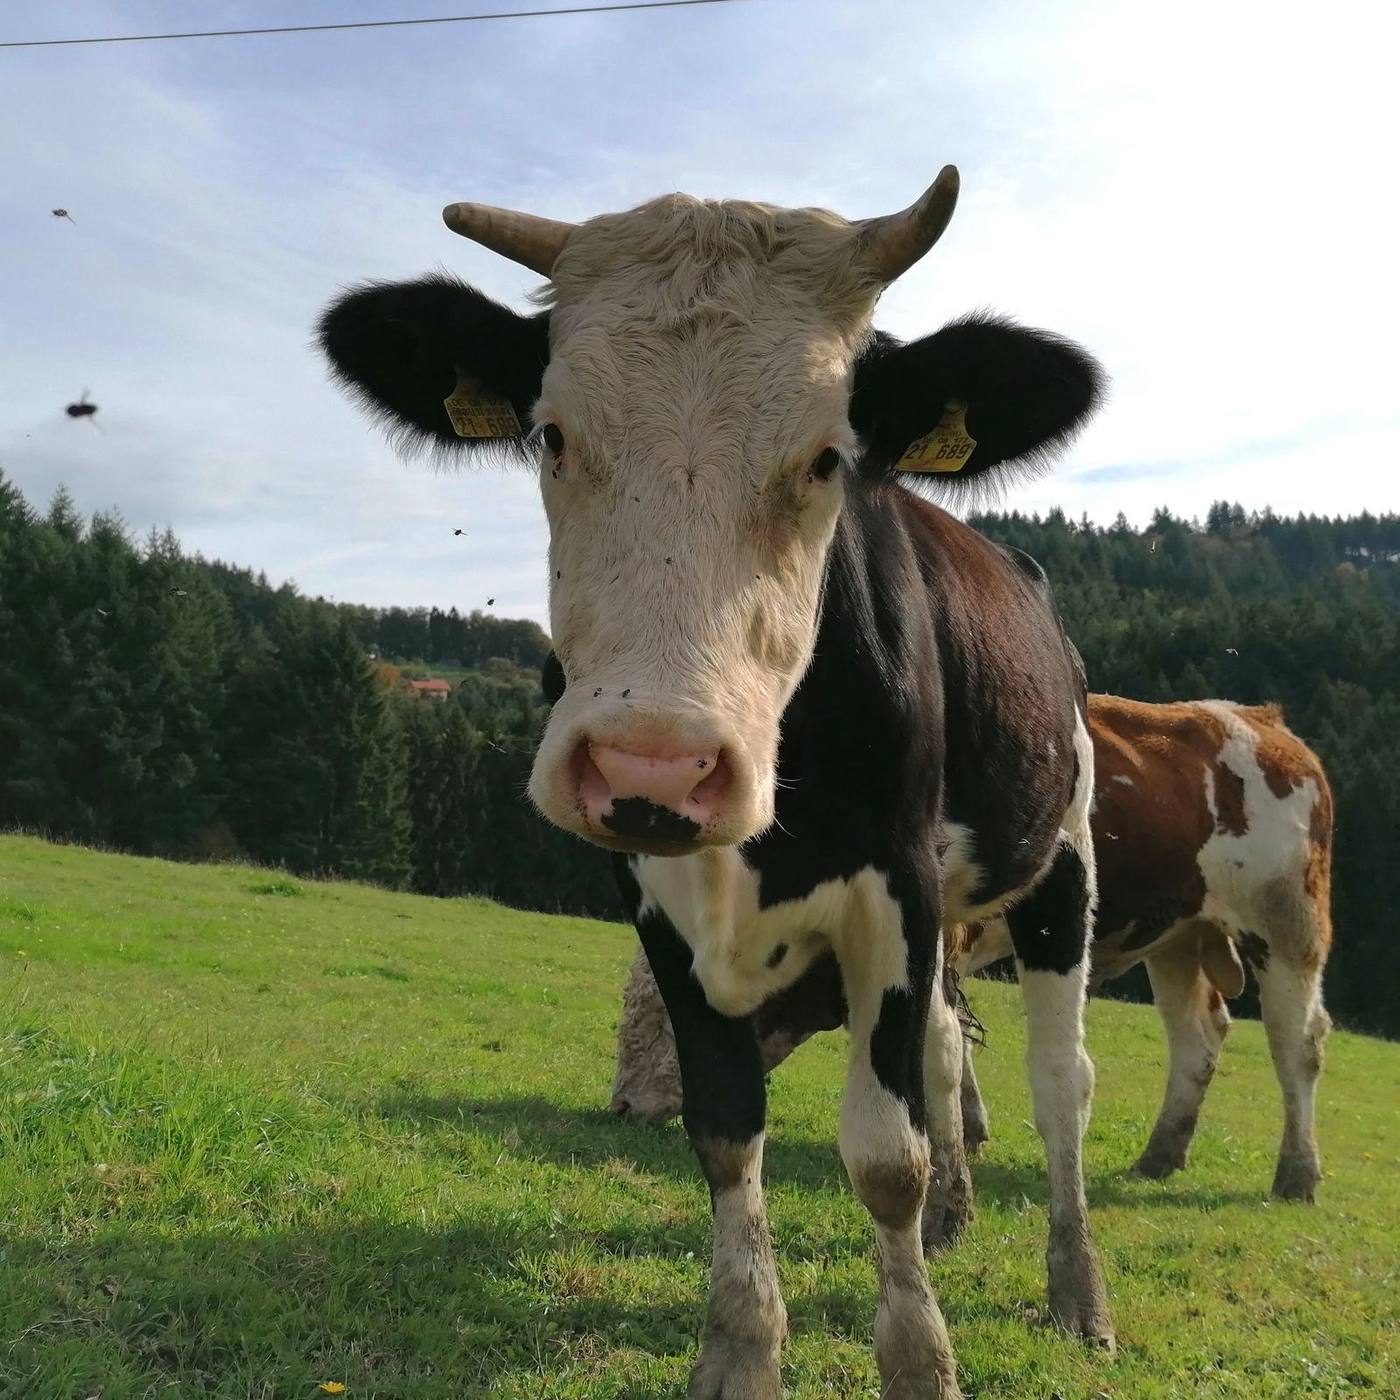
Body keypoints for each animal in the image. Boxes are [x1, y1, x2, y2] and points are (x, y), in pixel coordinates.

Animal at [318, 167, 1112, 1399]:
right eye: (552, 434)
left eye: (829, 456)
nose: (655, 759)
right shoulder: (651, 891)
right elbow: (726, 1125)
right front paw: (741, 1348)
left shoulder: (896, 882)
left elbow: (884, 1154)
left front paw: (918, 1359)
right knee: (946, 1046)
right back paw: (953, 1221)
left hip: (1060, 862)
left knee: (1057, 1078)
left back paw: (1076, 1289)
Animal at [613, 695, 1334, 1202]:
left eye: (665, 1021)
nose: (622, 1107)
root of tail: (1261, 721)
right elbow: (954, 1036)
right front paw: (970, 1127)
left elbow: (942, 1038)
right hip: (1179, 939)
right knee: (1198, 1037)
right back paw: (1160, 1155)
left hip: (1288, 928)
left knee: (1295, 1041)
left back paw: (1296, 1173)